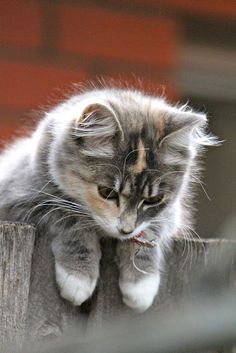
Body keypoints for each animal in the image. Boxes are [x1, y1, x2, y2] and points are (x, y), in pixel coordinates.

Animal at [0, 86, 218, 310]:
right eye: (107, 192)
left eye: (153, 200)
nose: (125, 230)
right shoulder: (21, 196)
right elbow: (72, 219)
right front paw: (77, 278)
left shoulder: (170, 214)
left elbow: (149, 232)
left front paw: (140, 283)